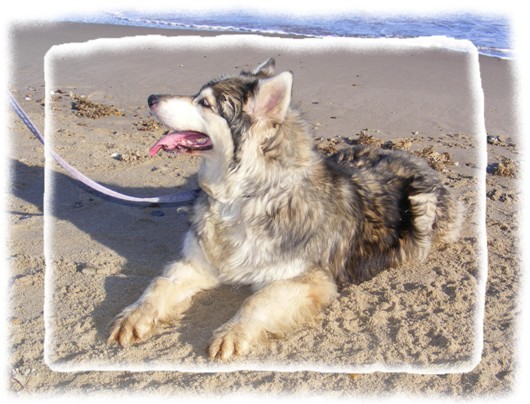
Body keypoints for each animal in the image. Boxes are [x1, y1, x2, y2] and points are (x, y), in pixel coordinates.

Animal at [105, 56, 460, 360]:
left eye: (204, 103)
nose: (151, 97)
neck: (242, 197)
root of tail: (416, 159)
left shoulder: (312, 280)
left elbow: (257, 299)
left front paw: (232, 332)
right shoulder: (198, 262)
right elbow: (158, 285)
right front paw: (133, 315)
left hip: (422, 210)